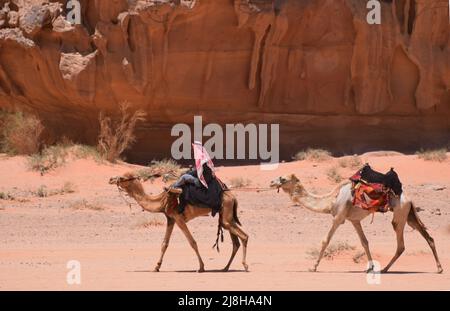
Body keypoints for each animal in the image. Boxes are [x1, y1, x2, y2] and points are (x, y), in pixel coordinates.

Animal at [109, 173, 250, 272]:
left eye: (122, 177)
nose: (110, 179)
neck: (162, 200)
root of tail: (233, 197)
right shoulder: (170, 219)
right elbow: (164, 244)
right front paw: (156, 267)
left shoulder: (178, 218)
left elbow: (192, 242)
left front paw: (201, 267)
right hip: (227, 217)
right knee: (235, 242)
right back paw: (225, 268)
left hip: (226, 214)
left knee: (244, 236)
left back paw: (245, 266)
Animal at [270, 174, 442, 274]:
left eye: (283, 179)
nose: (271, 182)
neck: (331, 200)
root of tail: (409, 199)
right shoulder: (354, 220)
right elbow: (364, 242)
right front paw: (370, 267)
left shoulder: (338, 218)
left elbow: (325, 240)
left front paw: (313, 267)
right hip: (409, 214)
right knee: (429, 237)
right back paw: (439, 268)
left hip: (399, 214)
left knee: (401, 245)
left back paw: (385, 269)